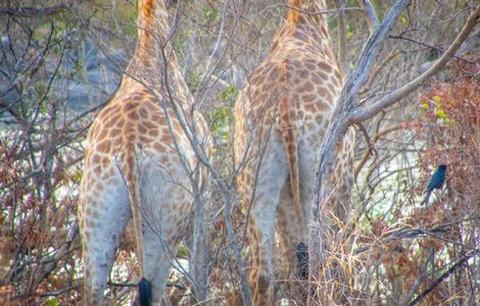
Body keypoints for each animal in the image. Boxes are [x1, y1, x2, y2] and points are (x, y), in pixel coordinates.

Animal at [77, 0, 208, 304]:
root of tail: (128, 148)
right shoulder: (201, 200)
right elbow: (199, 271)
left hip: (97, 211)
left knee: (94, 288)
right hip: (165, 217)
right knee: (153, 287)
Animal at [234, 0, 354, 304]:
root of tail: (285, 103)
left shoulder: (285, 194)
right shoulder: (347, 179)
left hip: (255, 176)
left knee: (264, 272)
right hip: (321, 178)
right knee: (324, 261)